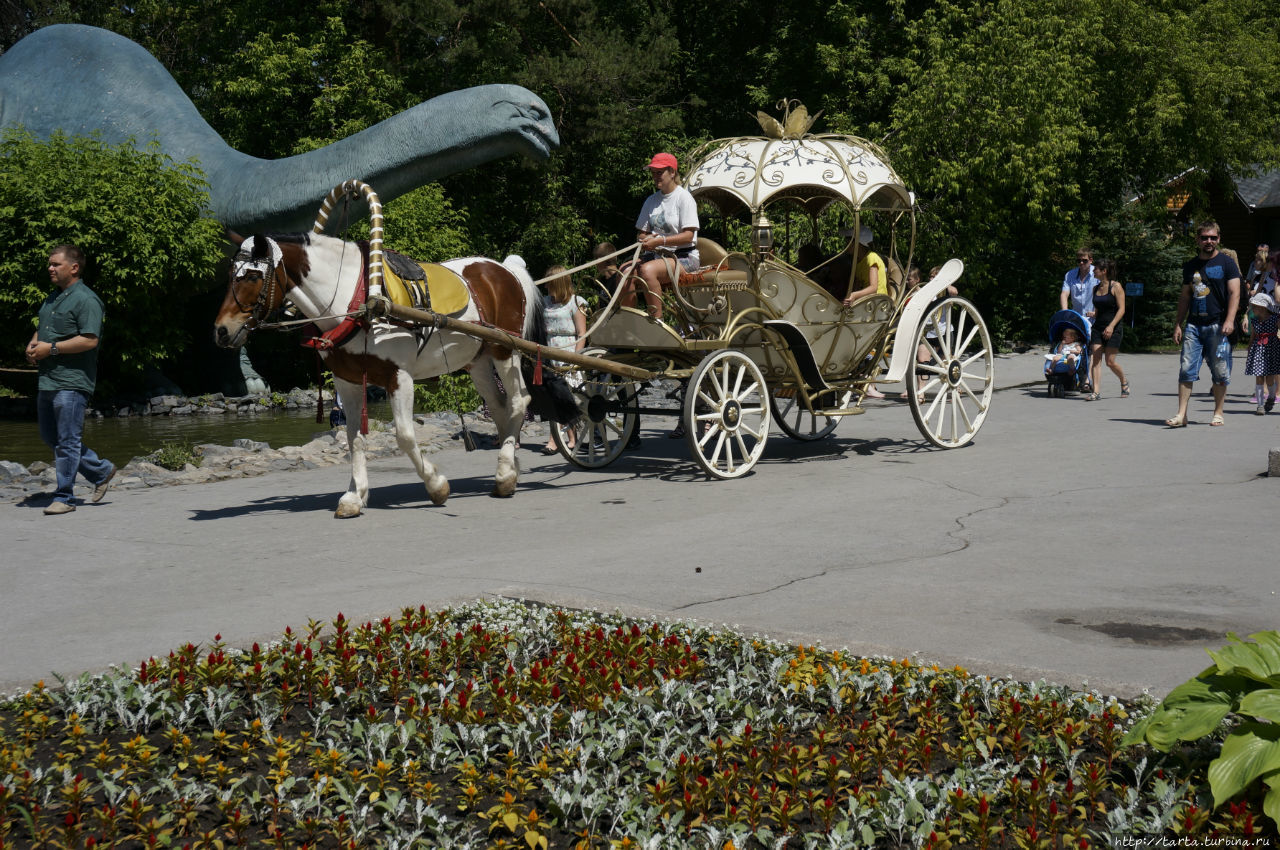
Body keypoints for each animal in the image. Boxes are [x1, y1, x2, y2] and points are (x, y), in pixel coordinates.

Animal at [216, 229, 555, 514]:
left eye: (252, 276)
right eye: (230, 275)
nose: (221, 330)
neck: (355, 299)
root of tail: (504, 269)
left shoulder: (398, 377)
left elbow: (404, 435)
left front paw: (436, 485)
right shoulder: (348, 381)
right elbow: (353, 438)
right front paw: (355, 496)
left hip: (505, 350)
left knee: (519, 401)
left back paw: (505, 473)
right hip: (478, 361)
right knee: (499, 407)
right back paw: (509, 470)